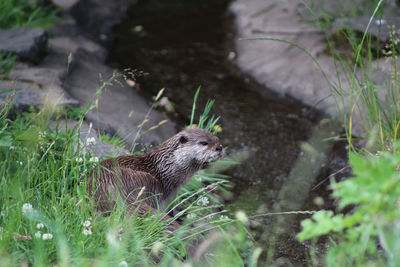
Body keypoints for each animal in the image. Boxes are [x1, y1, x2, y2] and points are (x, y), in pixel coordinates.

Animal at [87, 128, 223, 218]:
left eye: (217, 139)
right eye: (204, 142)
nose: (219, 147)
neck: (166, 168)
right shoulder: (168, 189)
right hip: (150, 182)